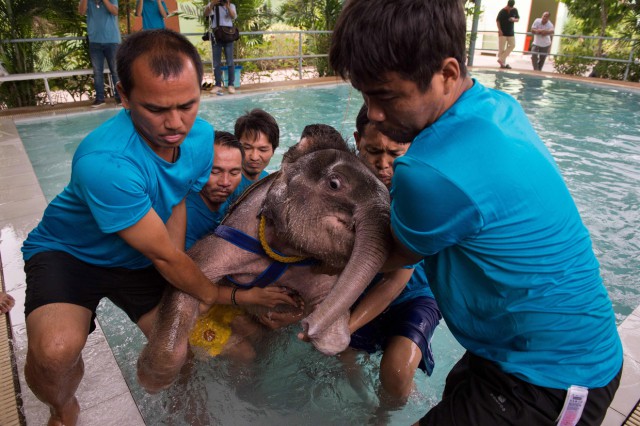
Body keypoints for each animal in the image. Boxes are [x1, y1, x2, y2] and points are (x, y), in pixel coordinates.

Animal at [138, 126, 392, 392]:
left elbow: (334, 331)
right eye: (334, 183)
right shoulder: (233, 236)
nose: (306, 328)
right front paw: (153, 378)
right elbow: (192, 269)